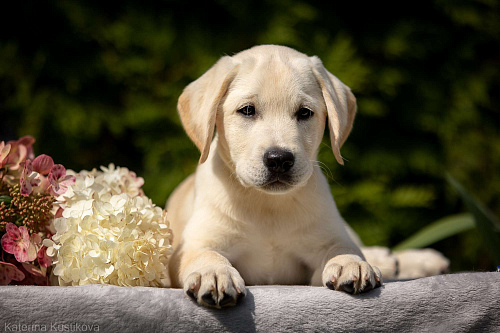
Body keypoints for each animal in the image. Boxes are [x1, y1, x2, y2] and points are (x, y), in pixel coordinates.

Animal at [168, 43, 382, 306]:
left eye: (304, 113)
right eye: (247, 110)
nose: (279, 159)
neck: (267, 205)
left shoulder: (327, 238)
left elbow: (342, 247)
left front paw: (350, 262)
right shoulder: (194, 243)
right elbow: (204, 253)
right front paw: (214, 273)